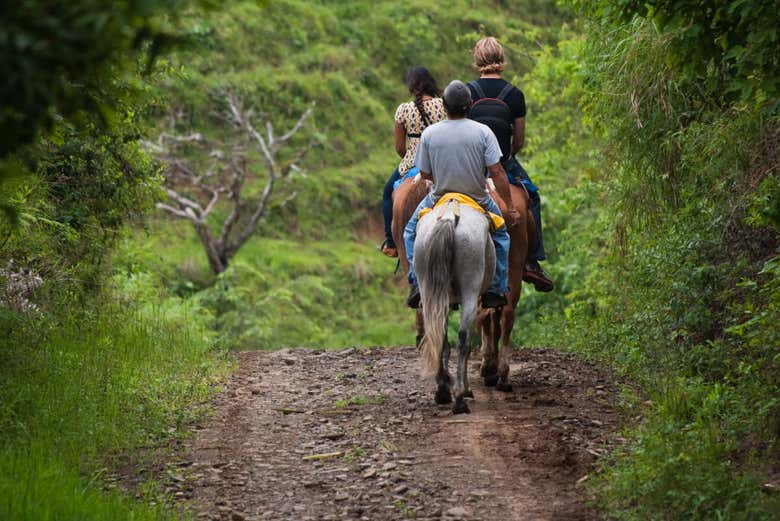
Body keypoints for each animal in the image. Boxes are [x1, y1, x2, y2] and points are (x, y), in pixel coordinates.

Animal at [415, 198, 495, 414]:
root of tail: (450, 216)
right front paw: (466, 389)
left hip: (429, 290)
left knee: (439, 337)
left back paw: (443, 390)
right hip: (470, 290)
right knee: (463, 340)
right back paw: (459, 397)